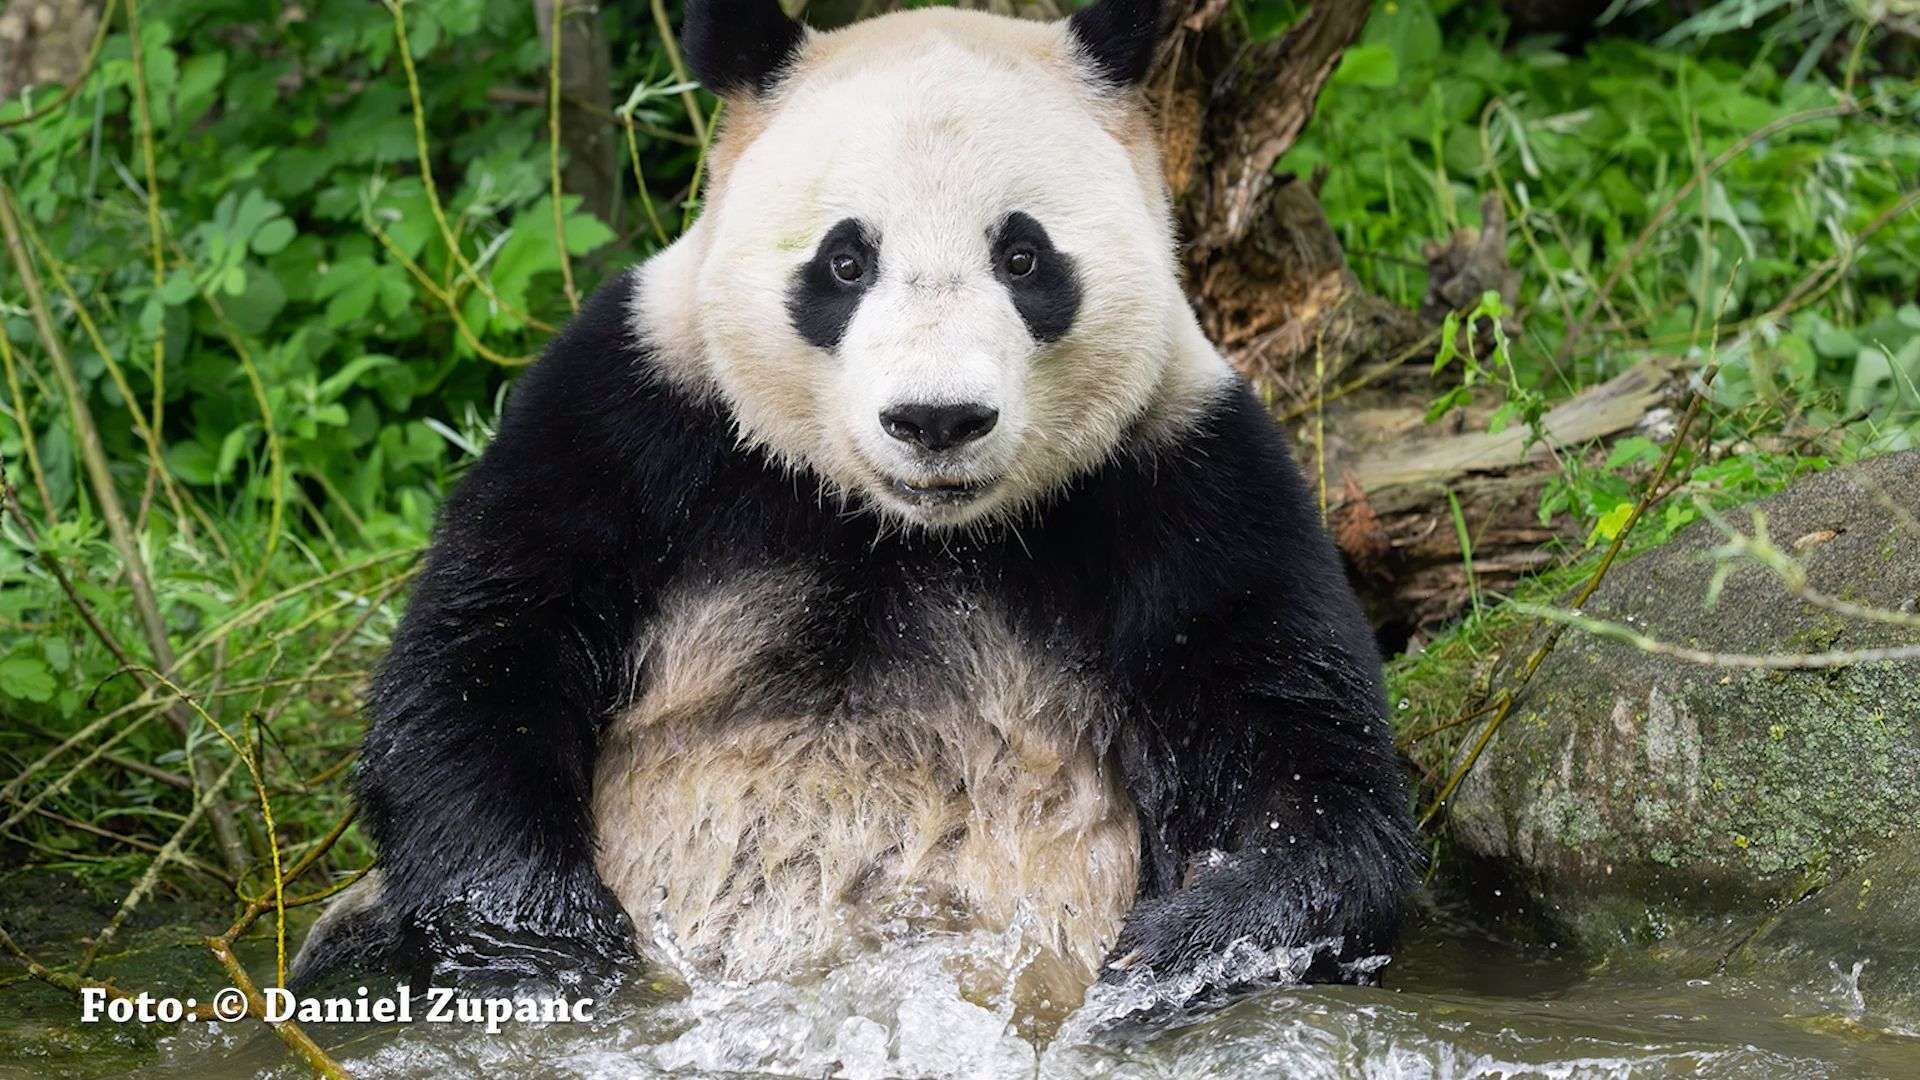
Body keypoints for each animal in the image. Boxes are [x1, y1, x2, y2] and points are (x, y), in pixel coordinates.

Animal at [295, 0, 1415, 1009]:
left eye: (1023, 256)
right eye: (845, 260)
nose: (937, 419)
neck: (904, 530)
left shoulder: (1185, 476)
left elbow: (1302, 754)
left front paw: (1178, 955)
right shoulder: (633, 415)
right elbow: (484, 656)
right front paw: (546, 943)